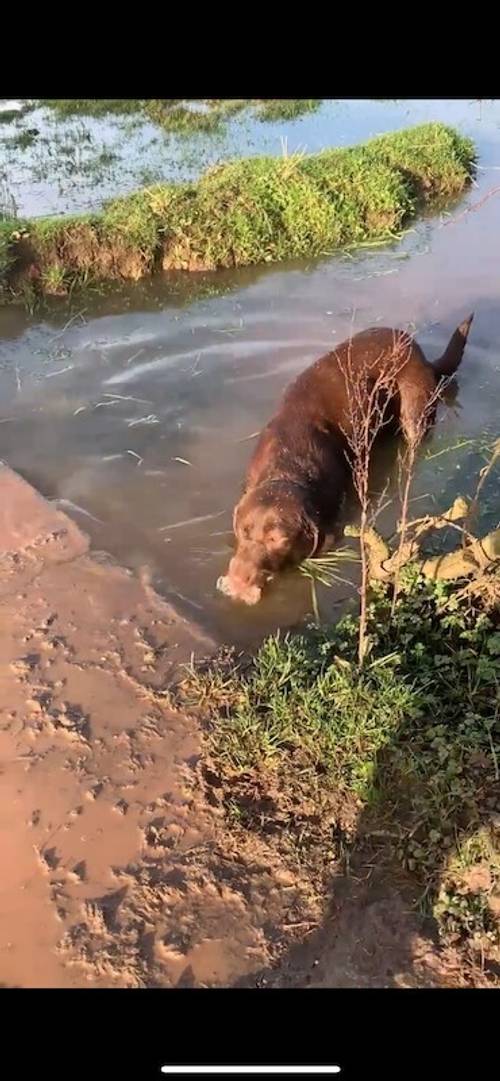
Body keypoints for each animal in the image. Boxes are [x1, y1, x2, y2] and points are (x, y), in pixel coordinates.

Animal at [218, 315, 473, 605]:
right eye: (243, 532)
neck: (287, 463)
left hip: (415, 411)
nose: (238, 584)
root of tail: (418, 351)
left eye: (278, 539)